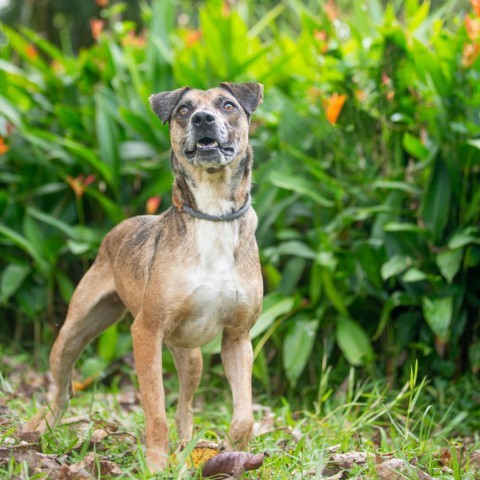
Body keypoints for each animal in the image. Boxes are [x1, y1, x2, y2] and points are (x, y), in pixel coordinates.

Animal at [24, 83, 264, 472]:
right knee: (61, 389)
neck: (212, 215)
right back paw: (36, 430)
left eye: (228, 105)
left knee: (185, 405)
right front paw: (155, 465)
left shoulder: (238, 338)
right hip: (73, 332)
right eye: (183, 110)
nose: (202, 119)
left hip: (190, 357)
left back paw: (186, 447)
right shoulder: (146, 333)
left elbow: (244, 416)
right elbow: (155, 411)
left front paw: (229, 454)